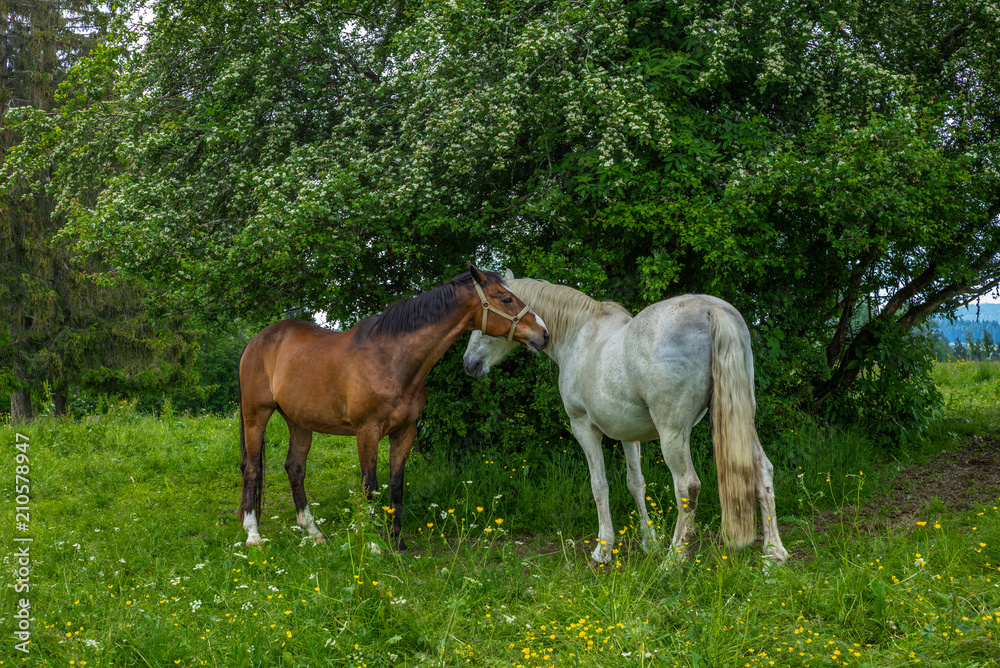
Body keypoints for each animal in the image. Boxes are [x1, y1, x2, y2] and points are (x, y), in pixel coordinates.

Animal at [238, 265, 548, 550]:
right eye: (505, 299)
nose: (543, 334)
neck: (392, 359)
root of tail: (256, 341)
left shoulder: (405, 431)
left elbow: (396, 486)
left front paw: (397, 542)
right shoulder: (367, 432)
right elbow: (370, 487)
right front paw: (373, 544)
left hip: (298, 421)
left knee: (295, 468)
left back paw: (313, 532)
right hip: (256, 415)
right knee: (252, 468)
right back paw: (253, 535)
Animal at [462, 272, 787, 565]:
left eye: (482, 319)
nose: (469, 364)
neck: (578, 335)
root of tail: (710, 309)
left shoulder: (584, 428)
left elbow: (599, 485)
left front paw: (603, 549)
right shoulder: (628, 434)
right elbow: (636, 483)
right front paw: (648, 542)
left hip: (673, 433)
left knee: (687, 486)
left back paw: (673, 559)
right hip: (742, 419)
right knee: (763, 470)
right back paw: (774, 552)